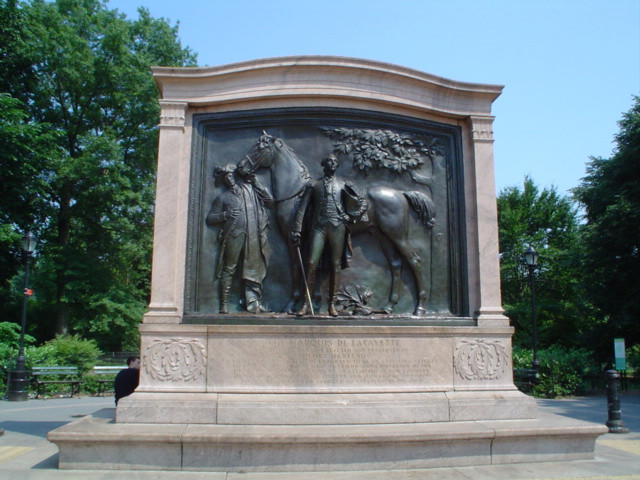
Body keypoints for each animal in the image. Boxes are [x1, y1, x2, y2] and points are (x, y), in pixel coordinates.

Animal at [240, 133, 436, 316]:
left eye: (260, 148)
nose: (241, 167)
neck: (295, 193)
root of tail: (401, 193)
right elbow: (315, 267)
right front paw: (314, 304)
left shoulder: (293, 240)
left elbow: (297, 268)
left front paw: (292, 305)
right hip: (382, 236)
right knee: (395, 264)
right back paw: (388, 307)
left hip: (397, 235)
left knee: (415, 261)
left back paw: (420, 308)